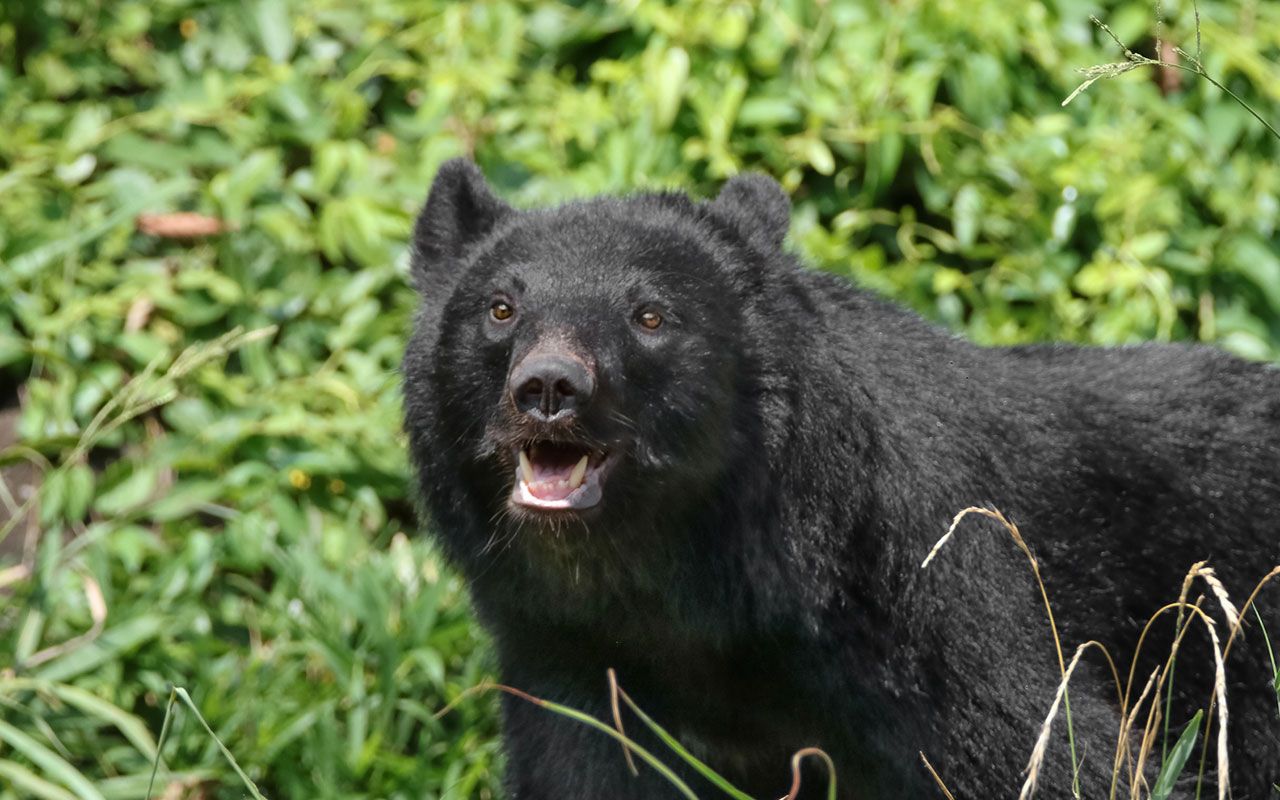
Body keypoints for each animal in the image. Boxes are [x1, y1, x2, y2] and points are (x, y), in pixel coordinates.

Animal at [401, 157, 1280, 798]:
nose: (549, 389)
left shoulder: (926, 591)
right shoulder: (568, 655)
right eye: (501, 309)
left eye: (649, 316)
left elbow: (1051, 752)